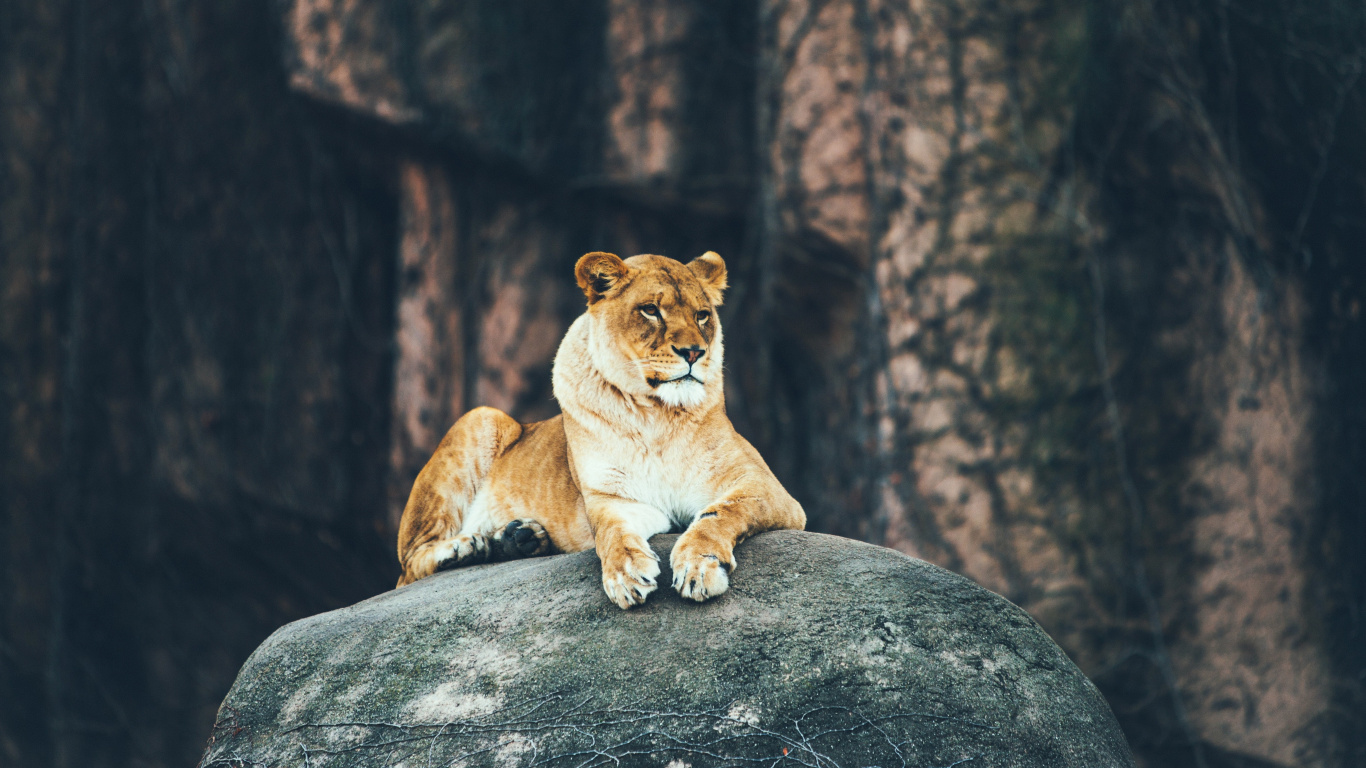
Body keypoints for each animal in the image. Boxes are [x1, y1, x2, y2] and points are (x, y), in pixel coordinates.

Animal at [395, 250, 806, 608]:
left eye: (703, 315)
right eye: (651, 310)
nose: (694, 352)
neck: (657, 416)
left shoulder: (766, 488)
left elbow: (721, 514)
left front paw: (698, 565)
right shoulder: (612, 497)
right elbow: (612, 534)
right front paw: (626, 575)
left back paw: (516, 539)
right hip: (480, 417)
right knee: (410, 566)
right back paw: (467, 546)